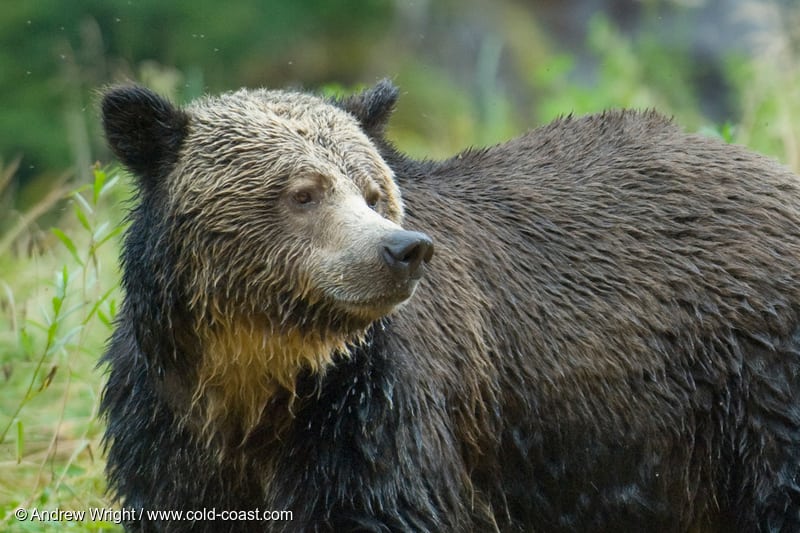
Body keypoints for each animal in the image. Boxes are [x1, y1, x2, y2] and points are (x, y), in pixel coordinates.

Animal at [99, 79, 800, 532]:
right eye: (304, 192)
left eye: (372, 191)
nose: (402, 249)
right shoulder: (167, 419)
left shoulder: (372, 411)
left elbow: (379, 507)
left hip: (752, 379)